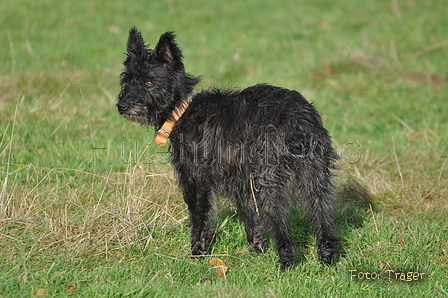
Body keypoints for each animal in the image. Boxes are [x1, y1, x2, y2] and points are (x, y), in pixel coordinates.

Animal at [116, 28, 340, 270]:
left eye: (149, 83)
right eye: (127, 81)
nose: (122, 106)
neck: (182, 110)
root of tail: (295, 116)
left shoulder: (196, 181)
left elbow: (199, 219)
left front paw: (198, 254)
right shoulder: (243, 184)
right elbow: (251, 218)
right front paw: (256, 250)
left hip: (270, 181)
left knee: (280, 221)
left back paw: (286, 263)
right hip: (314, 174)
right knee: (321, 213)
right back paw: (327, 258)